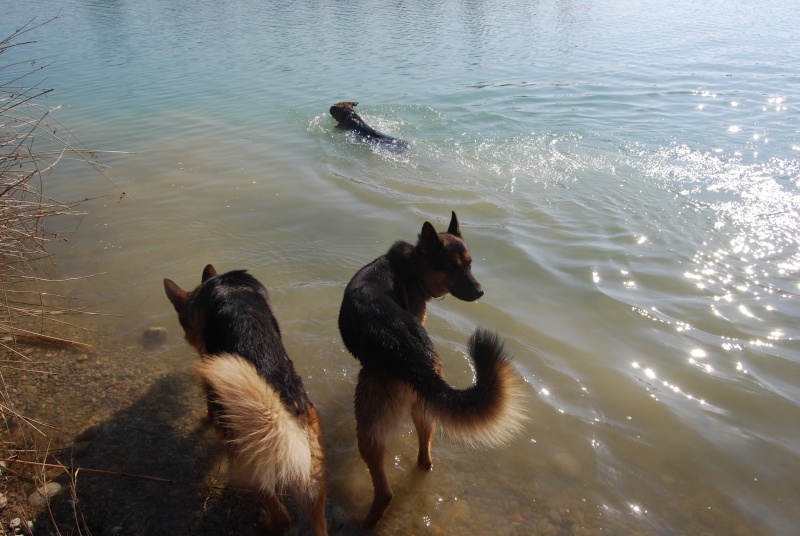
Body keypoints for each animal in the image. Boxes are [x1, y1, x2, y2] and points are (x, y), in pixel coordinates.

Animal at [164, 264, 326, 536]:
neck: (225, 288)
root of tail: (278, 414)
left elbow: (209, 412)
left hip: (250, 463)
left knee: (282, 515)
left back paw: (268, 522)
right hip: (311, 472)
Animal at [340, 210, 532, 528]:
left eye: (469, 264)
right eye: (453, 267)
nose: (480, 292)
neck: (412, 267)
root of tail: (410, 354)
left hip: (370, 424)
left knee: (384, 491)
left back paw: (365, 523)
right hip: (425, 409)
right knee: (425, 460)